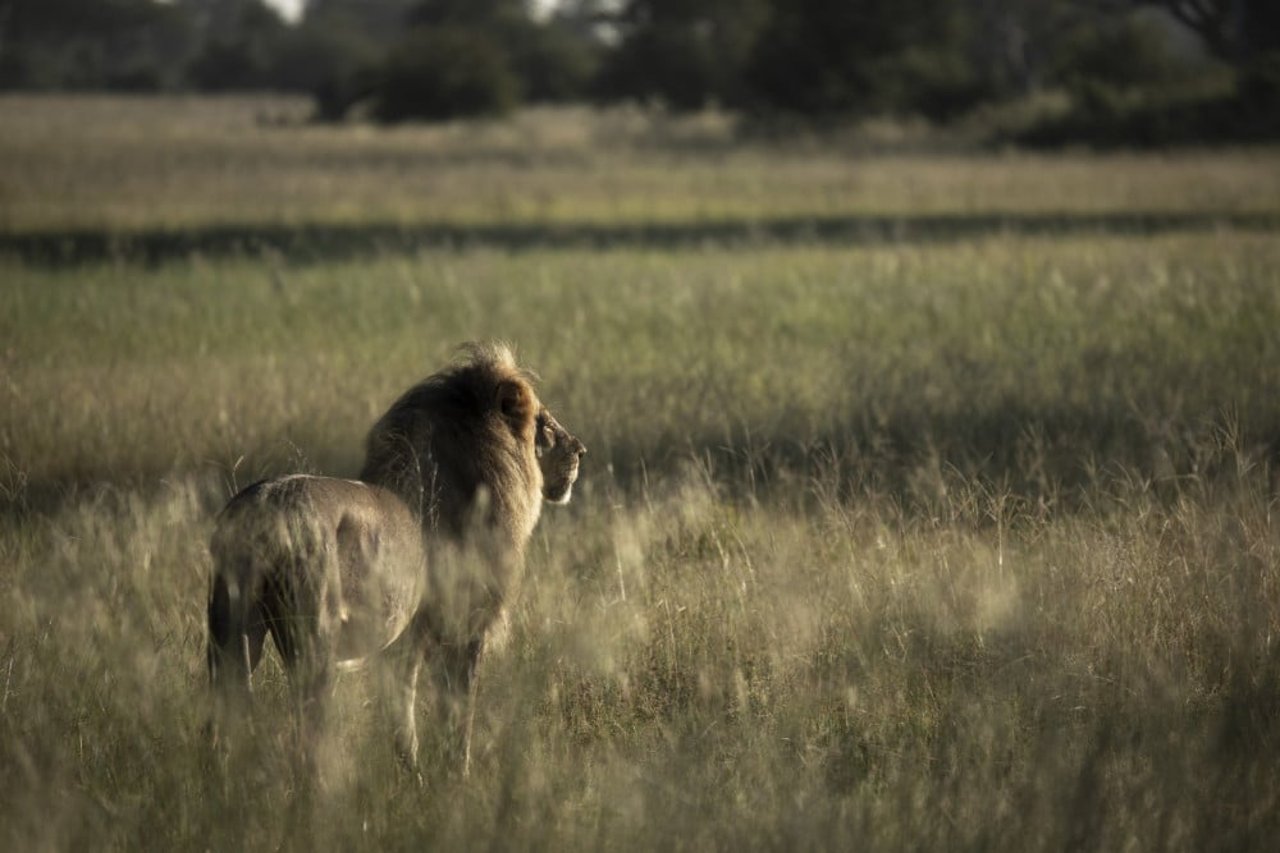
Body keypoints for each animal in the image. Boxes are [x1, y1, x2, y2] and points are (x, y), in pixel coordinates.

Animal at [207, 343, 586, 768]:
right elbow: (458, 716)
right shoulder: (464, 626)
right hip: (315, 639)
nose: (581, 451)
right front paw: (458, 775)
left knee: (218, 723)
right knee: (307, 736)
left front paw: (412, 772)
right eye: (545, 423)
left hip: (230, 634)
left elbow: (402, 716)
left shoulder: (402, 643)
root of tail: (263, 506)